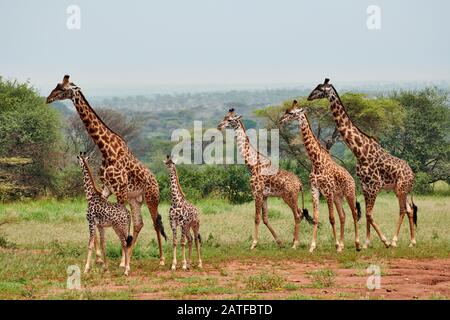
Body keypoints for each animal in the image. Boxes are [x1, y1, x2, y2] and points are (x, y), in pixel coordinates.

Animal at [46, 75, 168, 264]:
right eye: (56, 85)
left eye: (63, 89)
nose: (48, 98)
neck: (106, 149)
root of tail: (155, 180)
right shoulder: (106, 188)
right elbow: (100, 220)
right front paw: (101, 258)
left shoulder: (120, 190)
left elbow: (121, 219)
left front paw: (120, 260)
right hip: (135, 199)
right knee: (139, 223)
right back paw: (129, 254)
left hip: (151, 197)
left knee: (155, 222)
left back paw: (160, 259)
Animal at [216, 109, 312, 249]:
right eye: (224, 117)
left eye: (229, 120)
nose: (219, 126)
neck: (253, 165)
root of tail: (300, 184)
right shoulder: (265, 195)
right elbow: (265, 218)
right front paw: (279, 242)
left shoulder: (257, 193)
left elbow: (256, 218)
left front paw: (253, 244)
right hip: (290, 196)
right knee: (299, 213)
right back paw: (293, 241)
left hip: (289, 196)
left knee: (298, 214)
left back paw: (295, 244)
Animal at [278, 100, 362, 252]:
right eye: (286, 111)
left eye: (292, 113)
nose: (280, 120)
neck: (316, 160)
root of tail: (352, 179)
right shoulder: (315, 189)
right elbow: (317, 217)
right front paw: (312, 246)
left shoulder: (327, 190)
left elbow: (331, 218)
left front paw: (335, 244)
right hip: (338, 196)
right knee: (343, 215)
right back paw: (342, 245)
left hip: (349, 193)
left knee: (353, 213)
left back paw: (357, 244)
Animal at [308, 79, 416, 249]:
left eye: (320, 89)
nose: (309, 97)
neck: (359, 151)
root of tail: (412, 173)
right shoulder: (365, 185)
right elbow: (366, 213)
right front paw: (366, 243)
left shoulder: (375, 185)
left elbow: (369, 214)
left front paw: (383, 241)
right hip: (399, 189)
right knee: (410, 209)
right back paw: (412, 241)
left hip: (401, 188)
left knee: (403, 209)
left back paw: (393, 241)